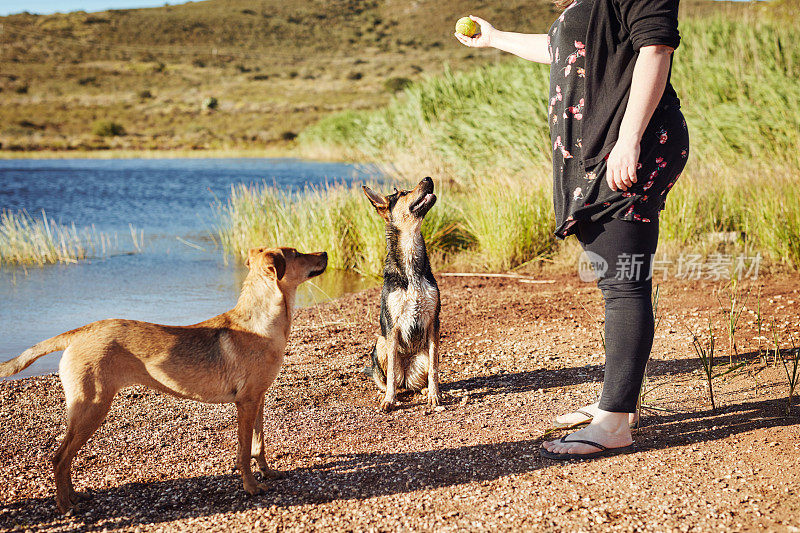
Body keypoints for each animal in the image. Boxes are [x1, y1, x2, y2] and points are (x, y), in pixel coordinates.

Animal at [0, 245, 324, 512]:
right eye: (296, 253)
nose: (325, 254)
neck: (262, 323)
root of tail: (81, 332)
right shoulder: (245, 403)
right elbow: (244, 452)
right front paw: (251, 487)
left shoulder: (258, 399)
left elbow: (259, 444)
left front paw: (267, 472)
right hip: (91, 407)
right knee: (59, 458)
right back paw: (66, 506)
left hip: (87, 410)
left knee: (64, 459)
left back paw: (74, 497)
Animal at [364, 177, 444, 410]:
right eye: (402, 194)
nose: (428, 178)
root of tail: (407, 376)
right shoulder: (392, 326)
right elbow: (390, 372)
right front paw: (389, 400)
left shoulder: (433, 322)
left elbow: (434, 369)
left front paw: (434, 395)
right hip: (380, 342)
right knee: (390, 380)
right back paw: (391, 393)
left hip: (423, 353)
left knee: (422, 378)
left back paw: (425, 390)